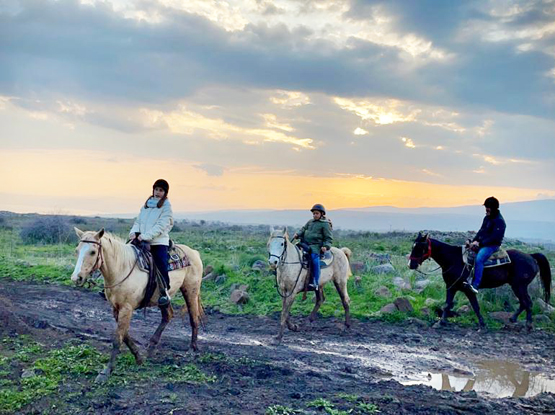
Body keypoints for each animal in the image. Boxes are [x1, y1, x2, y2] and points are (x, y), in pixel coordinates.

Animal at [71, 229, 204, 382]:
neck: (121, 269)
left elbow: (118, 339)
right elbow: (124, 335)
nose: (76, 278)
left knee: (193, 318)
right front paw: (139, 357)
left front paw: (106, 372)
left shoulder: (127, 308)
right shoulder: (116, 309)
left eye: (93, 252)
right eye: (77, 250)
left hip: (191, 290)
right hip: (162, 297)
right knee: (168, 315)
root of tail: (194, 252)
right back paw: (151, 347)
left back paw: (192, 349)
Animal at [408, 234, 552, 332]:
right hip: (517, 286)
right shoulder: (451, 286)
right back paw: (513, 319)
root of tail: (531, 256)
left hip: (519, 286)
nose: (411, 264)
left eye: (420, 247)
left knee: (527, 302)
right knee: (524, 302)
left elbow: (475, 306)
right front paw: (441, 322)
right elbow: (447, 304)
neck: (453, 259)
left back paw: (528, 325)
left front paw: (482, 324)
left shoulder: (468, 289)